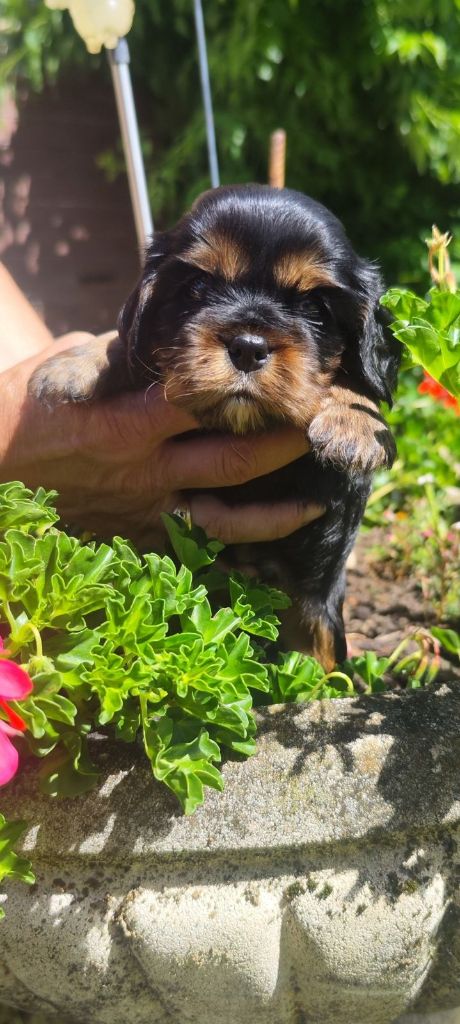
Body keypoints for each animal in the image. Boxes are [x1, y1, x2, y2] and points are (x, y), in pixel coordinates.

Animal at [30, 186, 399, 671]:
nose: (248, 346)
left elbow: (358, 383)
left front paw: (354, 420)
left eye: (314, 308)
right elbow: (121, 342)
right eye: (198, 287)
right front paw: (74, 364)